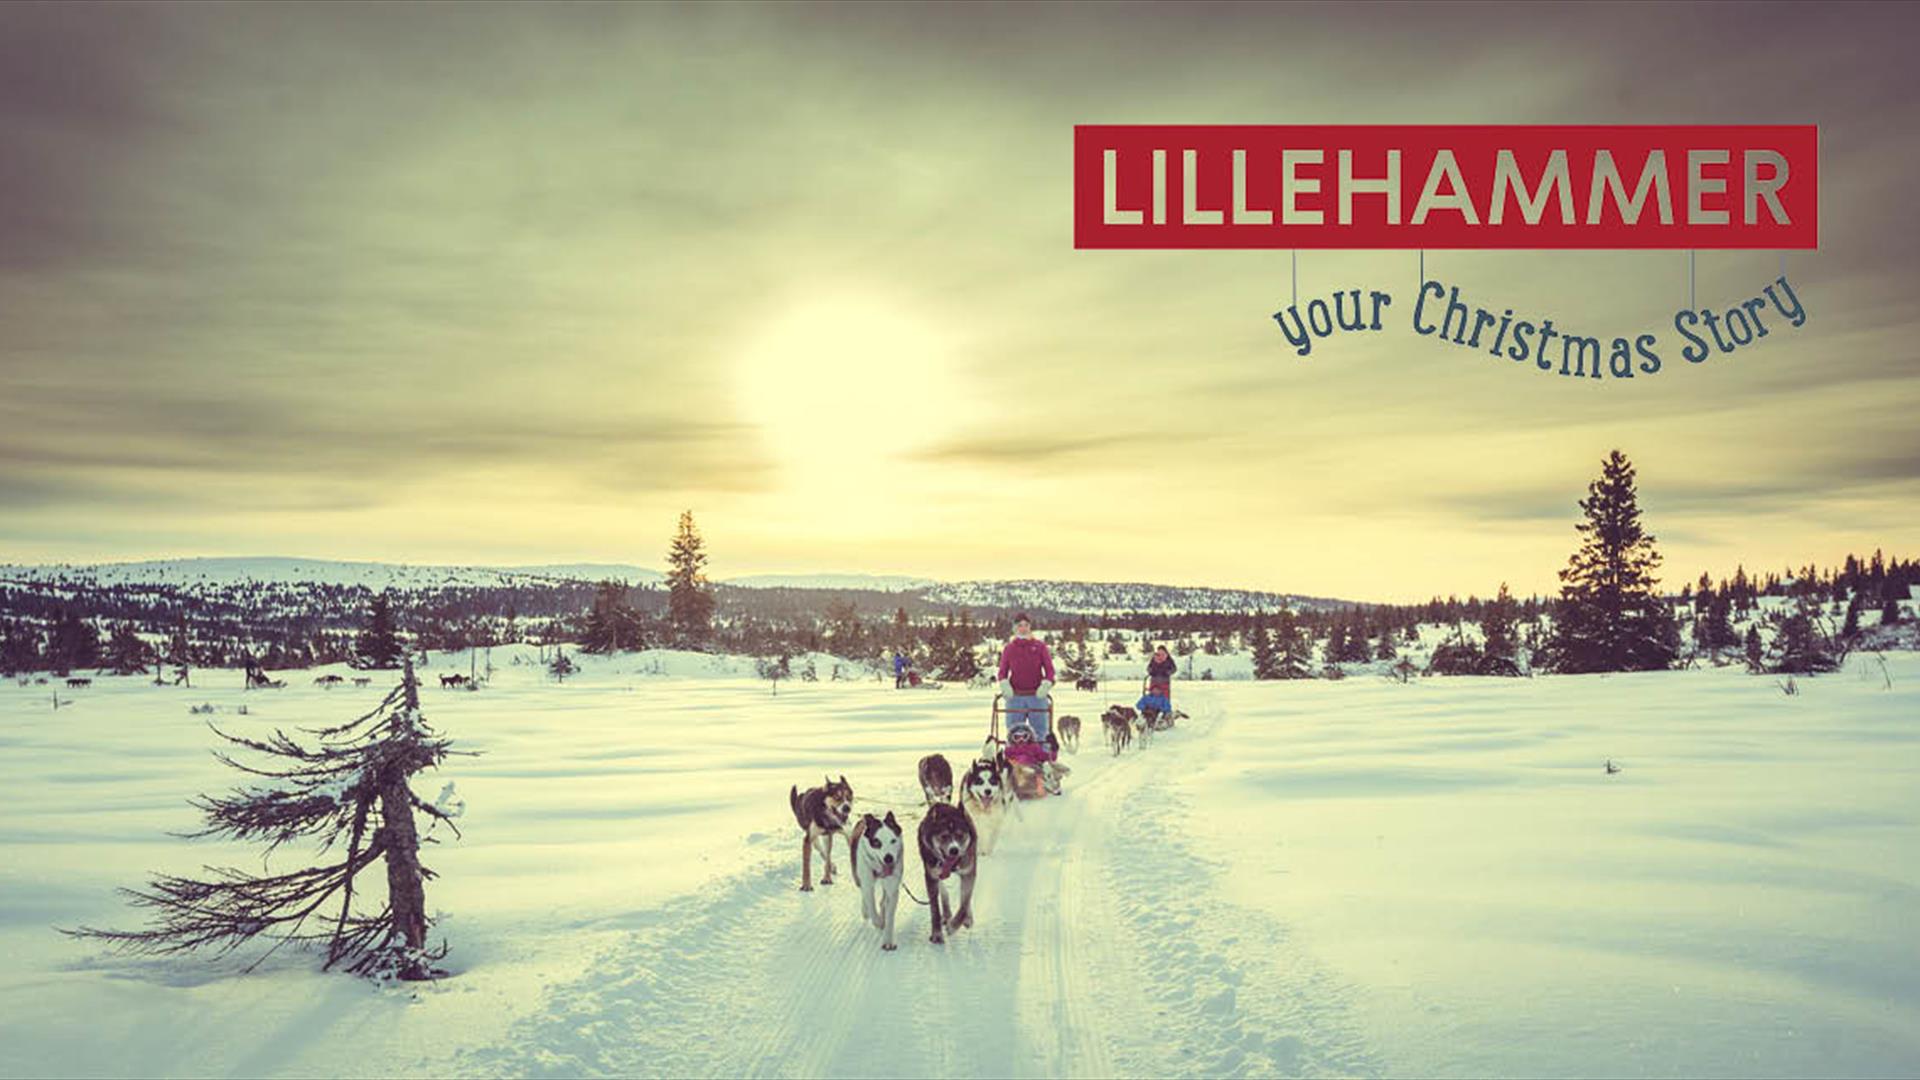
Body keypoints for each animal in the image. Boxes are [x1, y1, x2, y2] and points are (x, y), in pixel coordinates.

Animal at [848, 810, 906, 945]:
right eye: (876, 842)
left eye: (893, 840)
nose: (888, 858)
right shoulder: (867, 883)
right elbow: (871, 905)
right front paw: (878, 922)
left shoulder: (892, 888)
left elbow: (890, 914)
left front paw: (888, 940)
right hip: (858, 877)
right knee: (864, 895)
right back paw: (866, 911)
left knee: (882, 901)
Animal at [913, 799, 975, 941]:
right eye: (944, 836)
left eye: (960, 835)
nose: (954, 850)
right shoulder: (931, 877)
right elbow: (935, 909)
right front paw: (937, 934)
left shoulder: (969, 872)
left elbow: (964, 903)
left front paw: (953, 926)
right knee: (944, 893)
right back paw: (946, 914)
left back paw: (967, 918)